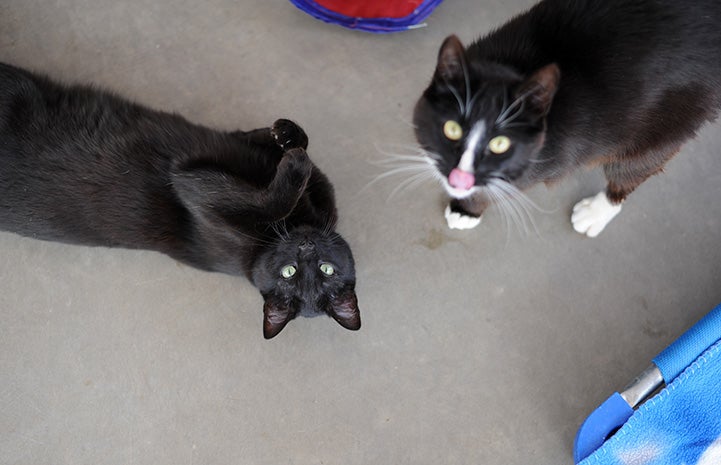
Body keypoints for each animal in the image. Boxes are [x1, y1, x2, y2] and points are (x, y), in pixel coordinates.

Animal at [0, 62, 360, 338]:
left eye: (324, 270)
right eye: (290, 272)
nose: (306, 248)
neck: (302, 220)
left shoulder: (193, 187)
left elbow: (273, 200)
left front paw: (292, 159)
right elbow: (284, 147)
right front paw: (286, 134)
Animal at [414, 0, 720, 236]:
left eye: (500, 143)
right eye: (452, 128)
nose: (459, 176)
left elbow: (490, 191)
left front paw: (465, 210)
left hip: (667, 124)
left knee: (635, 168)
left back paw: (596, 212)